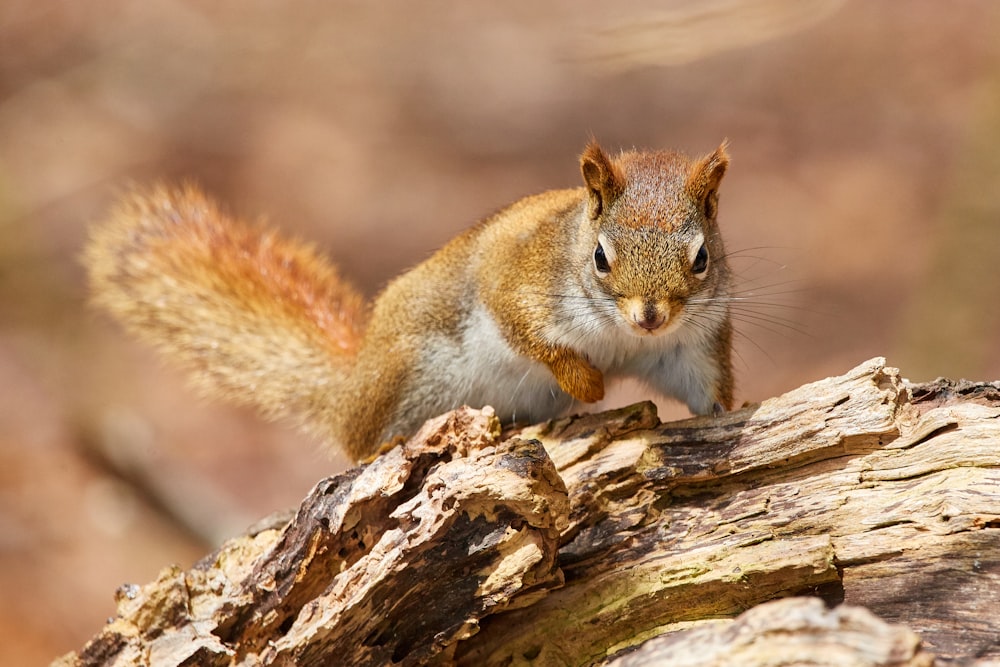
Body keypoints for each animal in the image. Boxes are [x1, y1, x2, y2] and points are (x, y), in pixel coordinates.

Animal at [88, 140, 736, 464]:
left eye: (702, 257)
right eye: (601, 258)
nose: (650, 316)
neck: (622, 337)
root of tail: (352, 388)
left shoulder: (691, 344)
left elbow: (705, 385)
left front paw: (729, 412)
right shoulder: (516, 275)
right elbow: (526, 327)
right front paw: (586, 381)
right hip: (412, 374)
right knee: (358, 445)